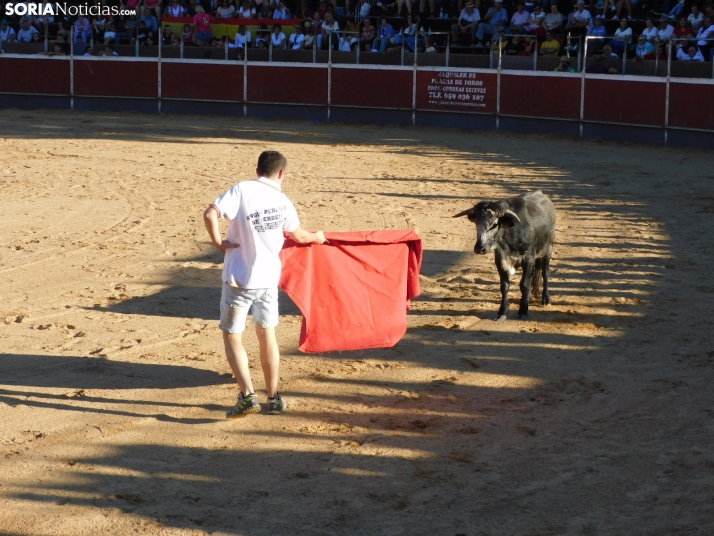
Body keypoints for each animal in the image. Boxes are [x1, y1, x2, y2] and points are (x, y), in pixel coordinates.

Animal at [454, 191, 552, 320]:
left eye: (495, 223)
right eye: (476, 222)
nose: (480, 248)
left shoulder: (529, 258)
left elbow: (524, 284)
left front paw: (523, 311)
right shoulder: (500, 260)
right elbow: (504, 286)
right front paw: (502, 311)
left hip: (548, 250)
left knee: (545, 272)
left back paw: (546, 299)